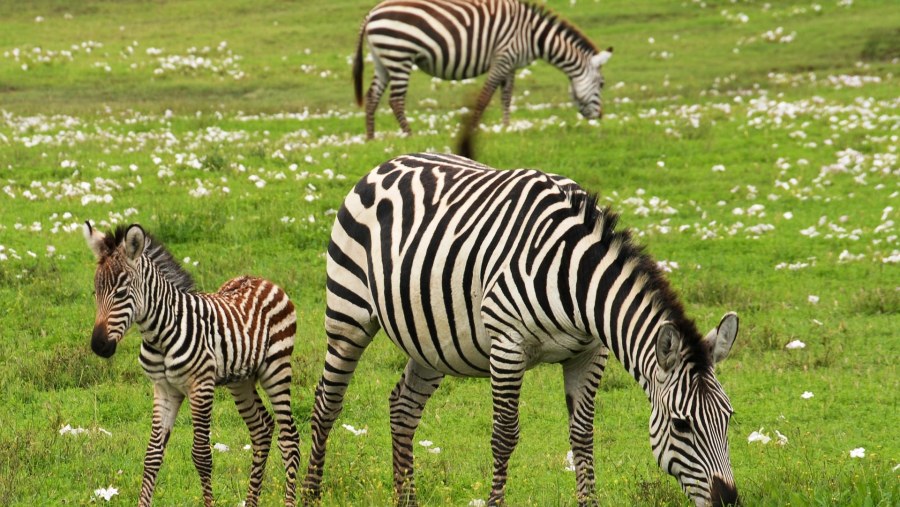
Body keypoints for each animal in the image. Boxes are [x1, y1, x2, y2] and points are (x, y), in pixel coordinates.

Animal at [82, 222, 298, 507]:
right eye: (96, 292)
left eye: (121, 293)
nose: (99, 346)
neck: (161, 333)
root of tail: (263, 280)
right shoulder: (164, 389)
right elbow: (152, 454)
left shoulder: (200, 386)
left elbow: (202, 455)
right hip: (240, 380)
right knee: (261, 429)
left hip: (276, 368)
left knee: (289, 438)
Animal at [302, 154, 740, 507]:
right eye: (681, 425)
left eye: (728, 417)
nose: (728, 500)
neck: (575, 278)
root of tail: (385, 164)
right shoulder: (508, 344)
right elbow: (504, 435)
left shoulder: (589, 352)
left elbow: (583, 436)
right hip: (348, 311)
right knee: (327, 402)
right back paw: (307, 494)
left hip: (430, 339)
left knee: (403, 407)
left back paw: (405, 499)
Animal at [352, 0, 612, 139]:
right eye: (601, 85)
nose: (599, 118)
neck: (533, 35)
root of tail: (371, 13)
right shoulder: (503, 57)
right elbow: (486, 96)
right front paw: (475, 127)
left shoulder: (511, 65)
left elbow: (506, 96)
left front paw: (506, 127)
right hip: (399, 55)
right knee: (395, 100)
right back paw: (410, 134)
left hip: (383, 59)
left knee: (372, 96)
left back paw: (370, 138)